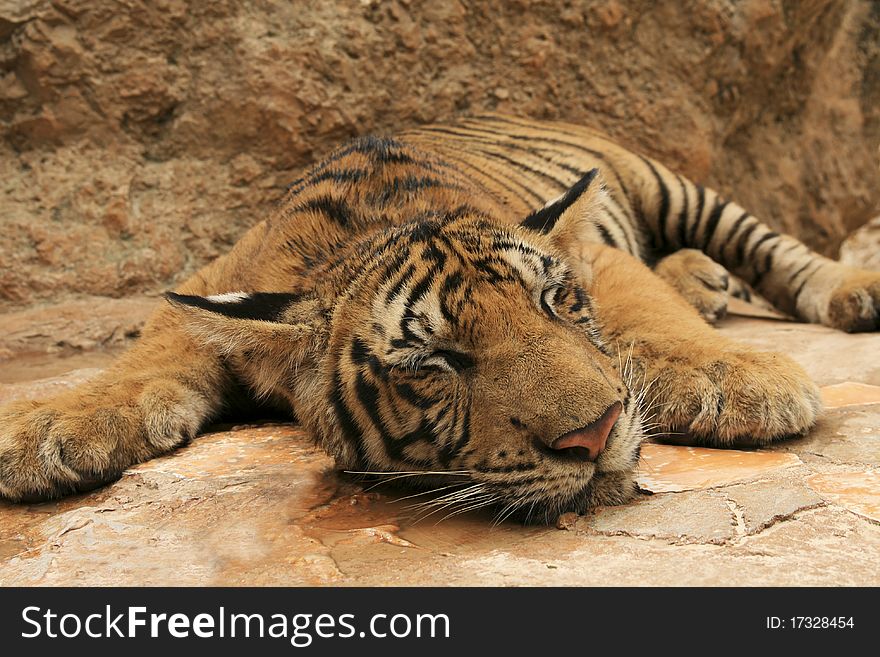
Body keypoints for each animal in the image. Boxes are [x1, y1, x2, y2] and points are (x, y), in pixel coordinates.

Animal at [1, 113, 880, 524]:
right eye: (436, 363)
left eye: (556, 303)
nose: (596, 435)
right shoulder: (209, 282)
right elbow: (142, 360)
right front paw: (45, 424)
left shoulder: (599, 259)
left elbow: (648, 315)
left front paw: (739, 376)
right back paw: (704, 279)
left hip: (667, 183)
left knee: (777, 252)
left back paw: (849, 289)